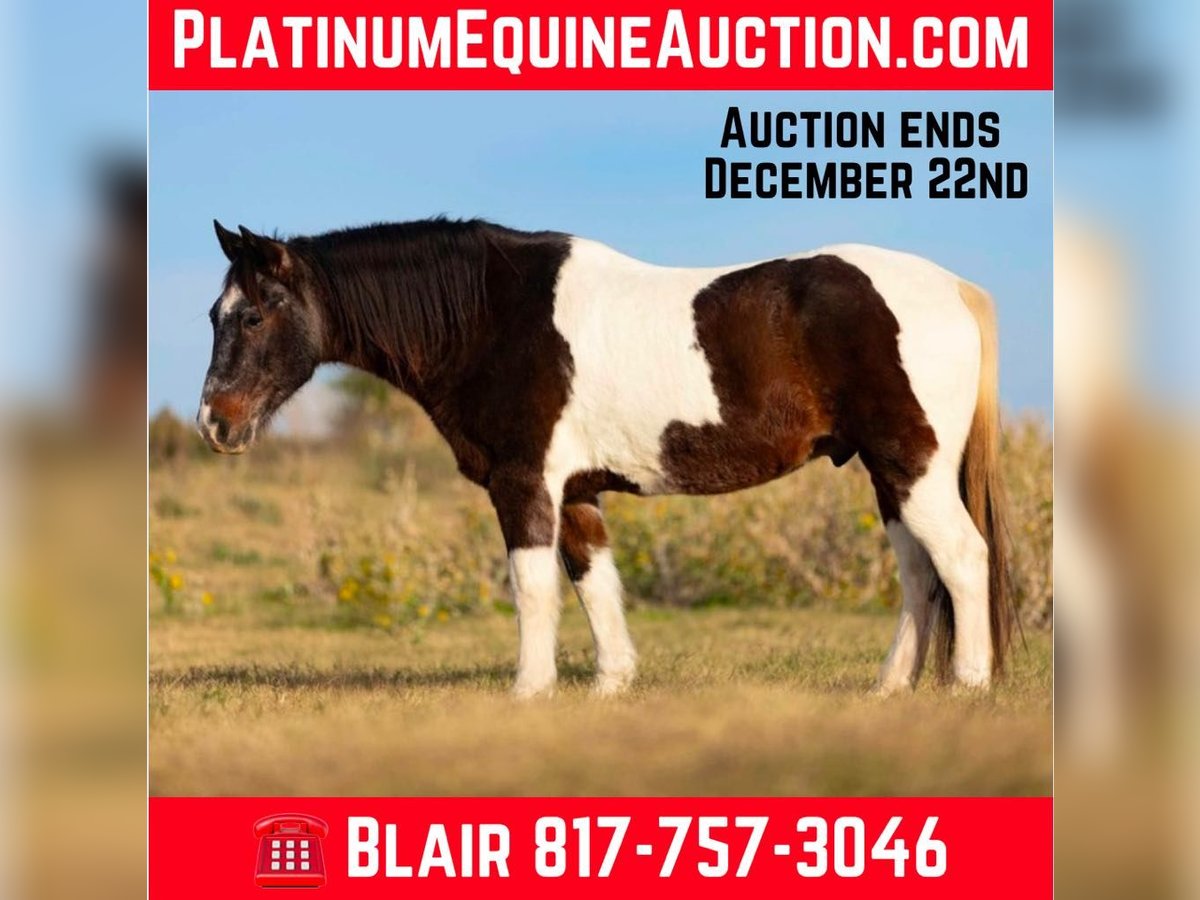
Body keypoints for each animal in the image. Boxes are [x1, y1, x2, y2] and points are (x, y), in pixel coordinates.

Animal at [198, 217, 1013, 698]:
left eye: (253, 315)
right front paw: (610, 686)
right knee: (920, 575)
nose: (214, 422)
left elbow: (533, 587)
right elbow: (593, 582)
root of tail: (954, 289)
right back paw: (890, 688)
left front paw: (528, 692)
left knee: (961, 559)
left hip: (911, 466)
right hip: (890, 473)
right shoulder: (578, 491)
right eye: (214, 313)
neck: (489, 316)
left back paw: (969, 685)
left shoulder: (524, 482)